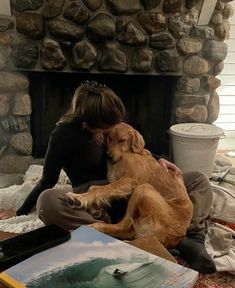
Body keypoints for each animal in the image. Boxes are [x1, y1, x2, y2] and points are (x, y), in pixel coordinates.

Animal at [66, 123, 193, 256]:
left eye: (122, 140)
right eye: (109, 138)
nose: (108, 156)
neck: (126, 153)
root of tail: (174, 238)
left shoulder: (129, 181)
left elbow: (99, 189)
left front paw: (79, 198)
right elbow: (97, 188)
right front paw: (94, 207)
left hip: (143, 188)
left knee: (123, 227)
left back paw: (97, 226)